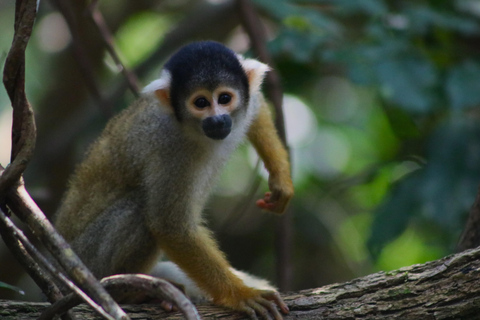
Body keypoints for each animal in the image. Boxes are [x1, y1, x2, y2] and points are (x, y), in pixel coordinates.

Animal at [55, 41, 294, 318]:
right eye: (200, 102)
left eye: (224, 98)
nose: (217, 119)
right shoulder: (170, 149)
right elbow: (169, 225)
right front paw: (242, 295)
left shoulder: (244, 105)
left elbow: (257, 106)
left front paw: (280, 178)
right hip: (90, 263)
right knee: (139, 208)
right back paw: (126, 292)